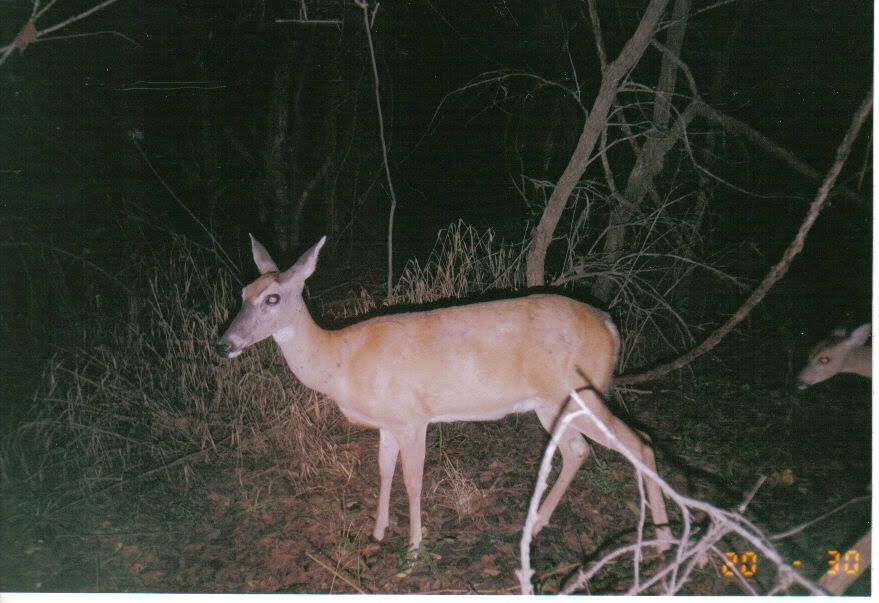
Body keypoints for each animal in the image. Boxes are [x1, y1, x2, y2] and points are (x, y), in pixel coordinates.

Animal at [216, 235, 673, 553]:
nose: (224, 343)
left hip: (581, 389)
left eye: (273, 298)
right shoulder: (387, 422)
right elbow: (384, 471)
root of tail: (610, 325)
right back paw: (536, 525)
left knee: (640, 440)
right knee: (578, 450)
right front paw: (378, 531)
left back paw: (665, 542)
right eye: (242, 294)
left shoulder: (412, 415)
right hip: (553, 403)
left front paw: (415, 543)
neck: (341, 361)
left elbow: (413, 479)